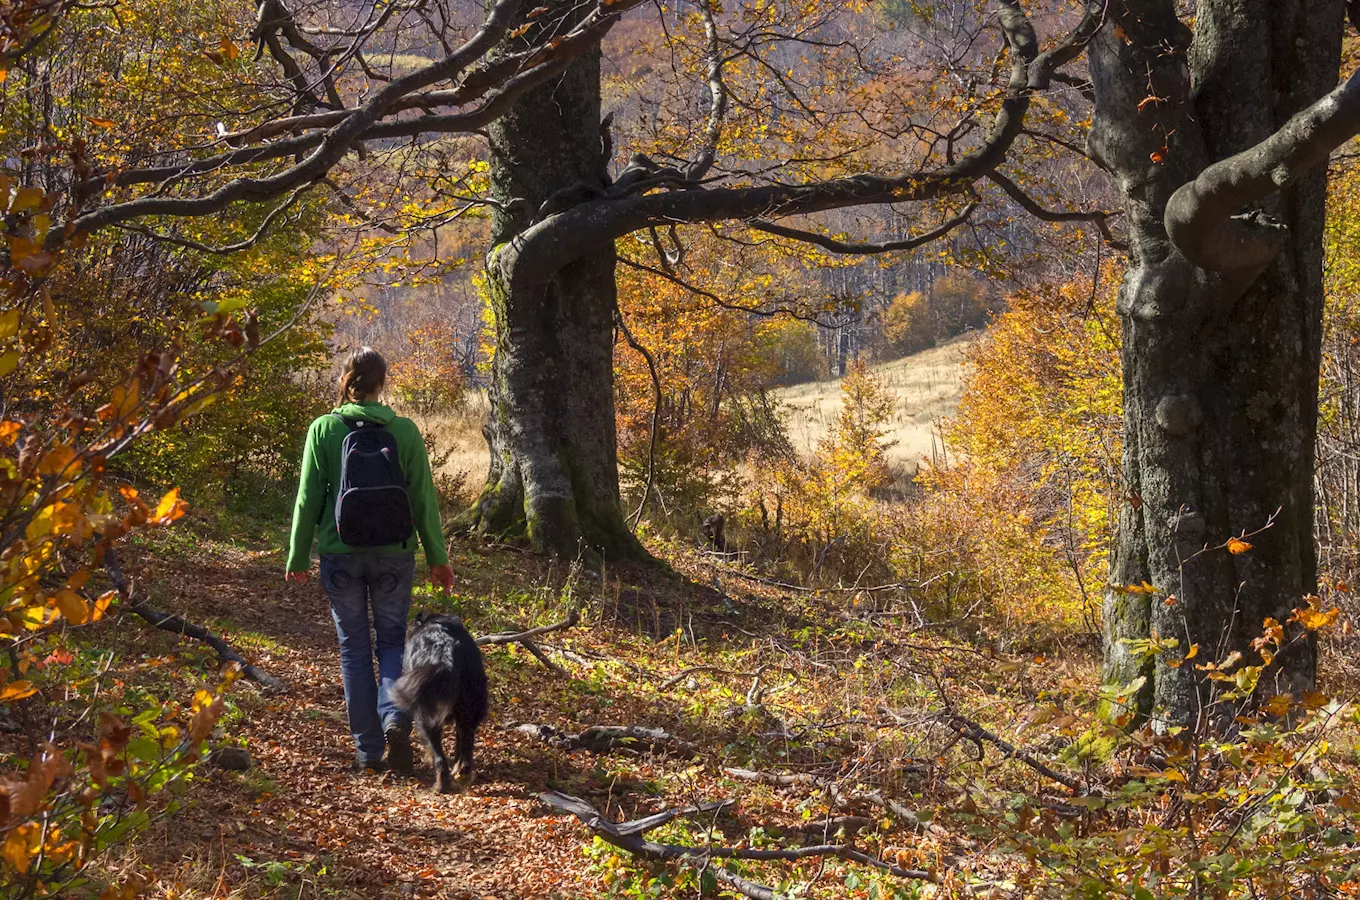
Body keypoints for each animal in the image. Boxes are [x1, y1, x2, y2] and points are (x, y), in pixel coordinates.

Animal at [391, 617, 492, 793]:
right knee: (466, 745)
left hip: (426, 716)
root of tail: (446, 654)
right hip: (470, 708)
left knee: (439, 756)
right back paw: (462, 773)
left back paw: (441, 785)